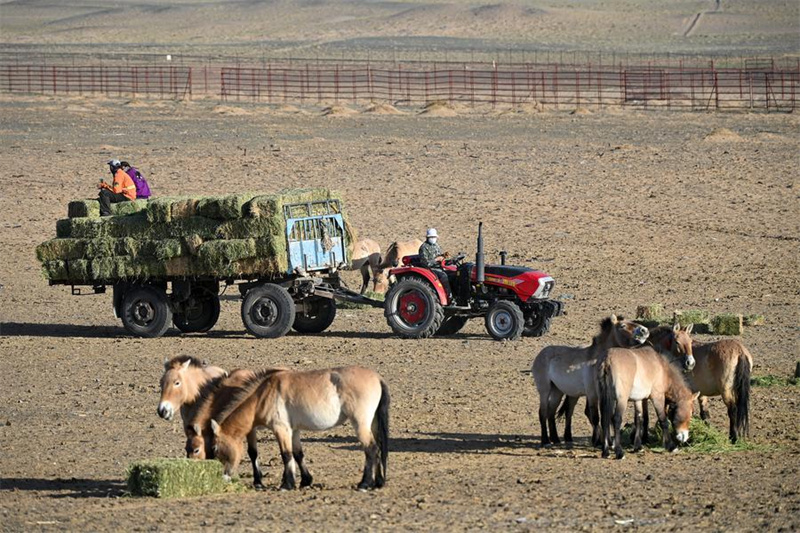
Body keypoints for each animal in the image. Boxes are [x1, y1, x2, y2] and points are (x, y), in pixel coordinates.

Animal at [209, 366, 390, 491]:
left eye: (215, 448)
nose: (224, 477)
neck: (263, 395)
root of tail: (377, 378)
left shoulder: (281, 429)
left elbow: (286, 455)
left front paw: (287, 485)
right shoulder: (294, 431)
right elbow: (298, 454)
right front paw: (305, 481)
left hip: (360, 424)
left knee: (371, 449)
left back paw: (364, 484)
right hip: (372, 424)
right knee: (378, 448)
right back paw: (378, 482)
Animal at [531, 315, 650, 448]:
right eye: (622, 326)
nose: (644, 330)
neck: (597, 361)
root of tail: (540, 355)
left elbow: (608, 416)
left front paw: (610, 442)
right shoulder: (592, 395)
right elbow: (596, 417)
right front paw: (598, 441)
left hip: (558, 391)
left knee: (552, 412)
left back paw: (556, 439)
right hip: (545, 391)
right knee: (543, 413)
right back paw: (545, 441)